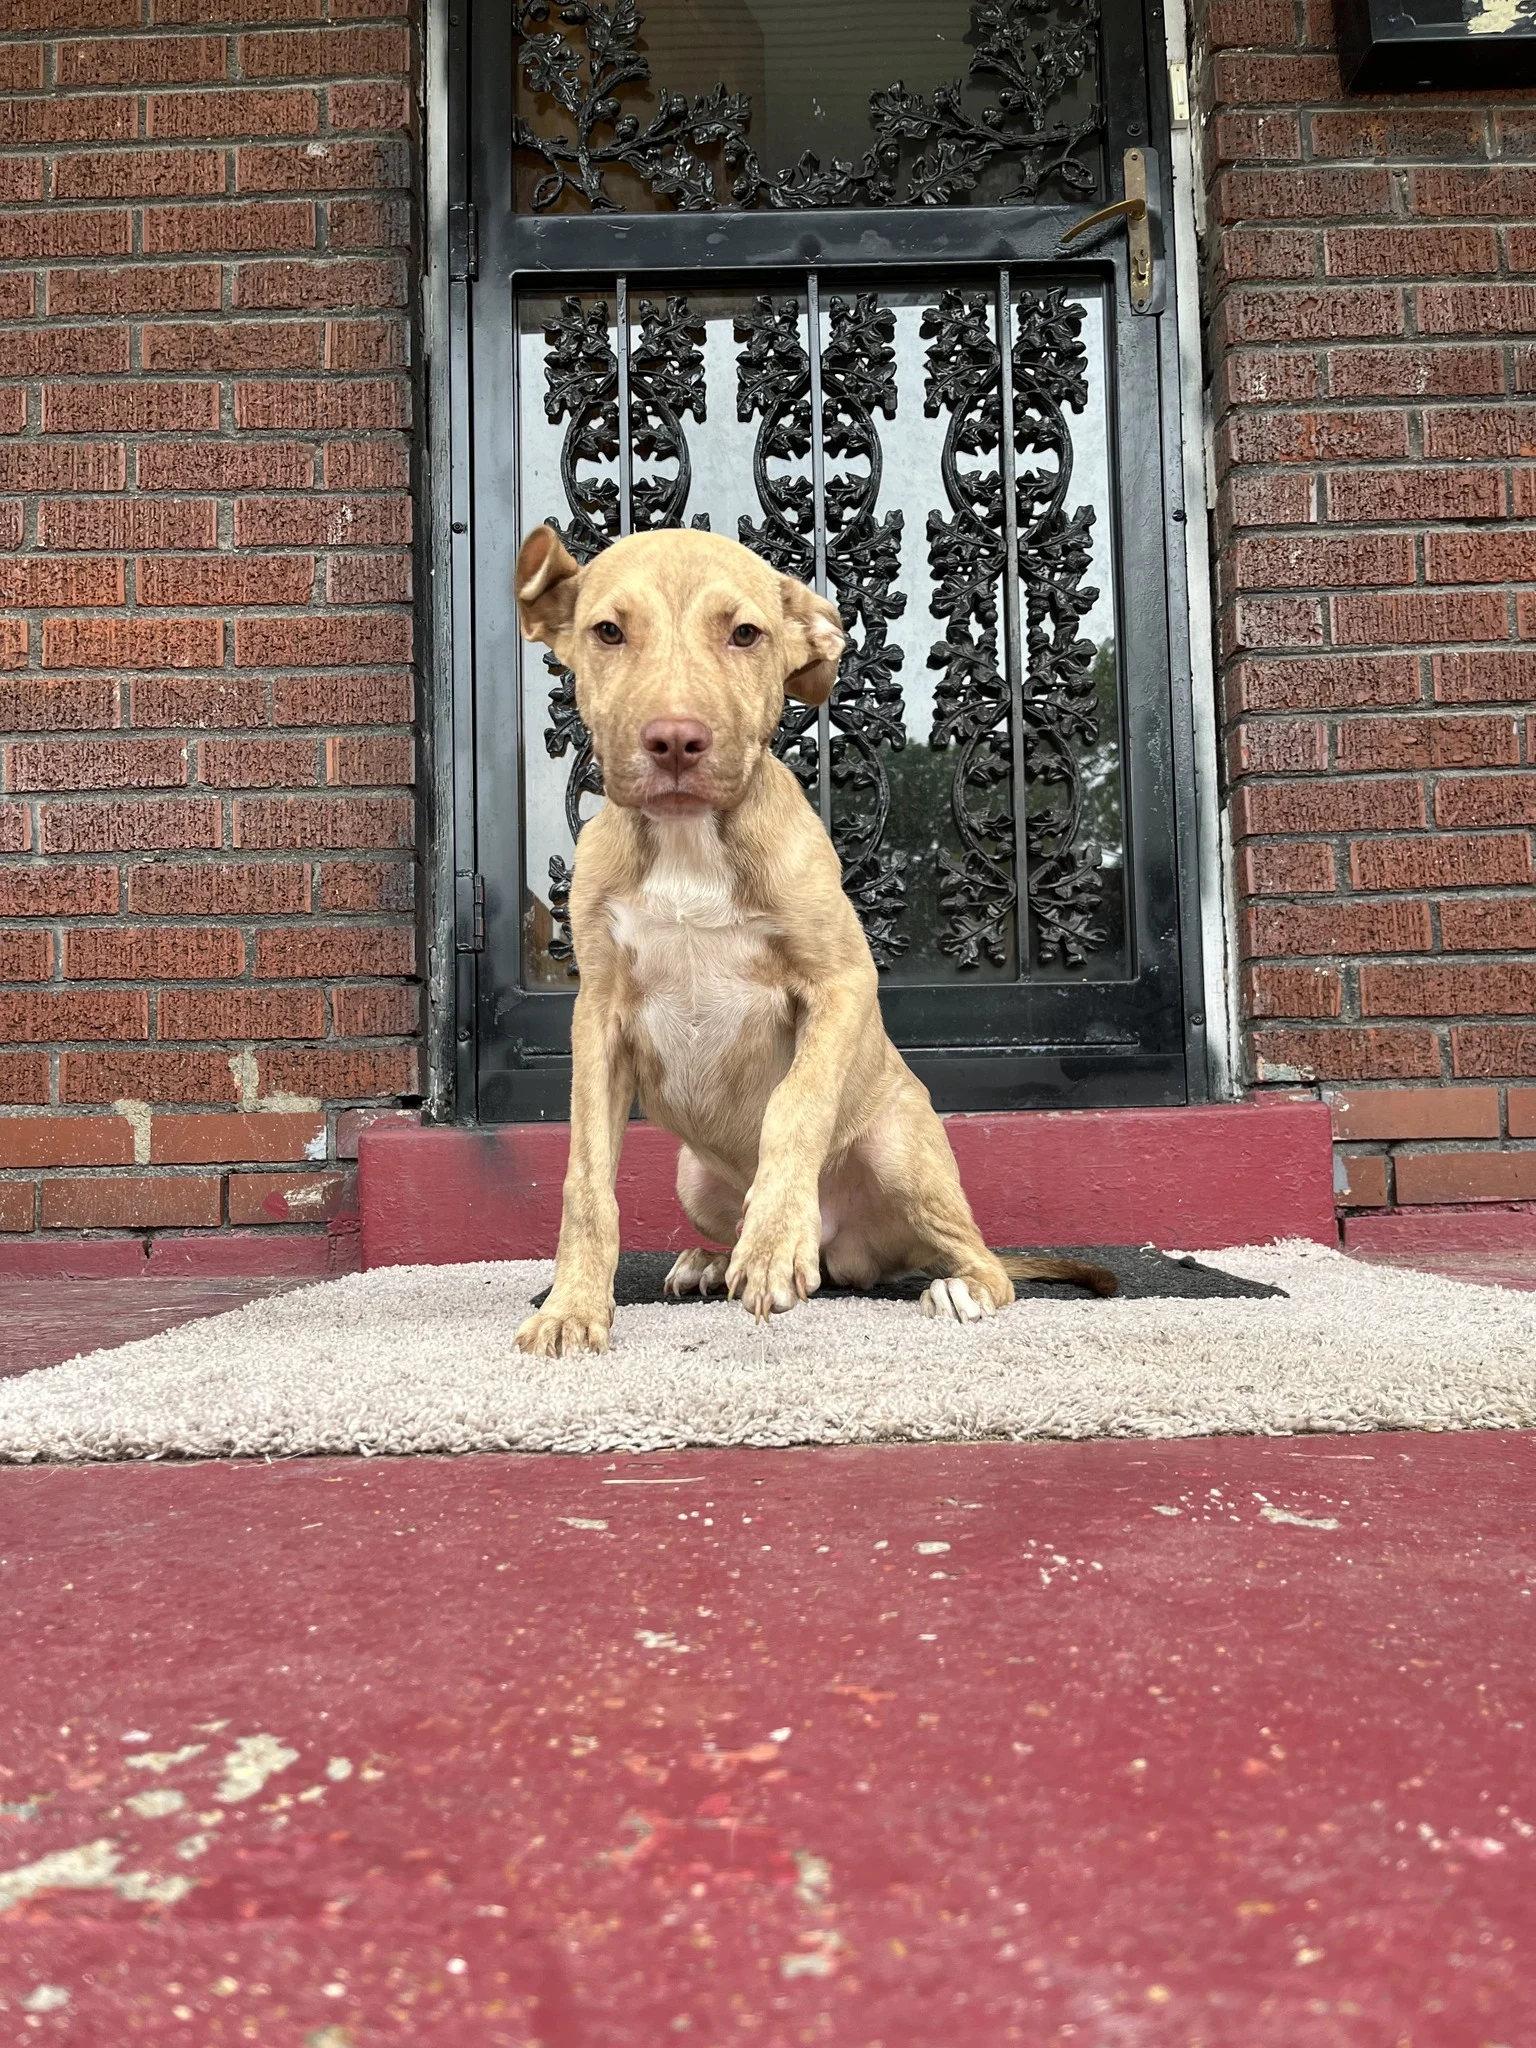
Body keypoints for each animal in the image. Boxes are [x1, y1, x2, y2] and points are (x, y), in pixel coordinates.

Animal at [518, 528, 1122, 1359]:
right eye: (607, 631)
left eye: (746, 634)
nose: (675, 740)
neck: (688, 843)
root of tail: (851, 1250)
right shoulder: (599, 1015)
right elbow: (586, 1180)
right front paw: (572, 1307)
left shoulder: (841, 980)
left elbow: (796, 1104)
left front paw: (774, 1243)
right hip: (695, 1180)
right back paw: (714, 1260)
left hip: (902, 1150)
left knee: (984, 1260)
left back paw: (954, 1287)